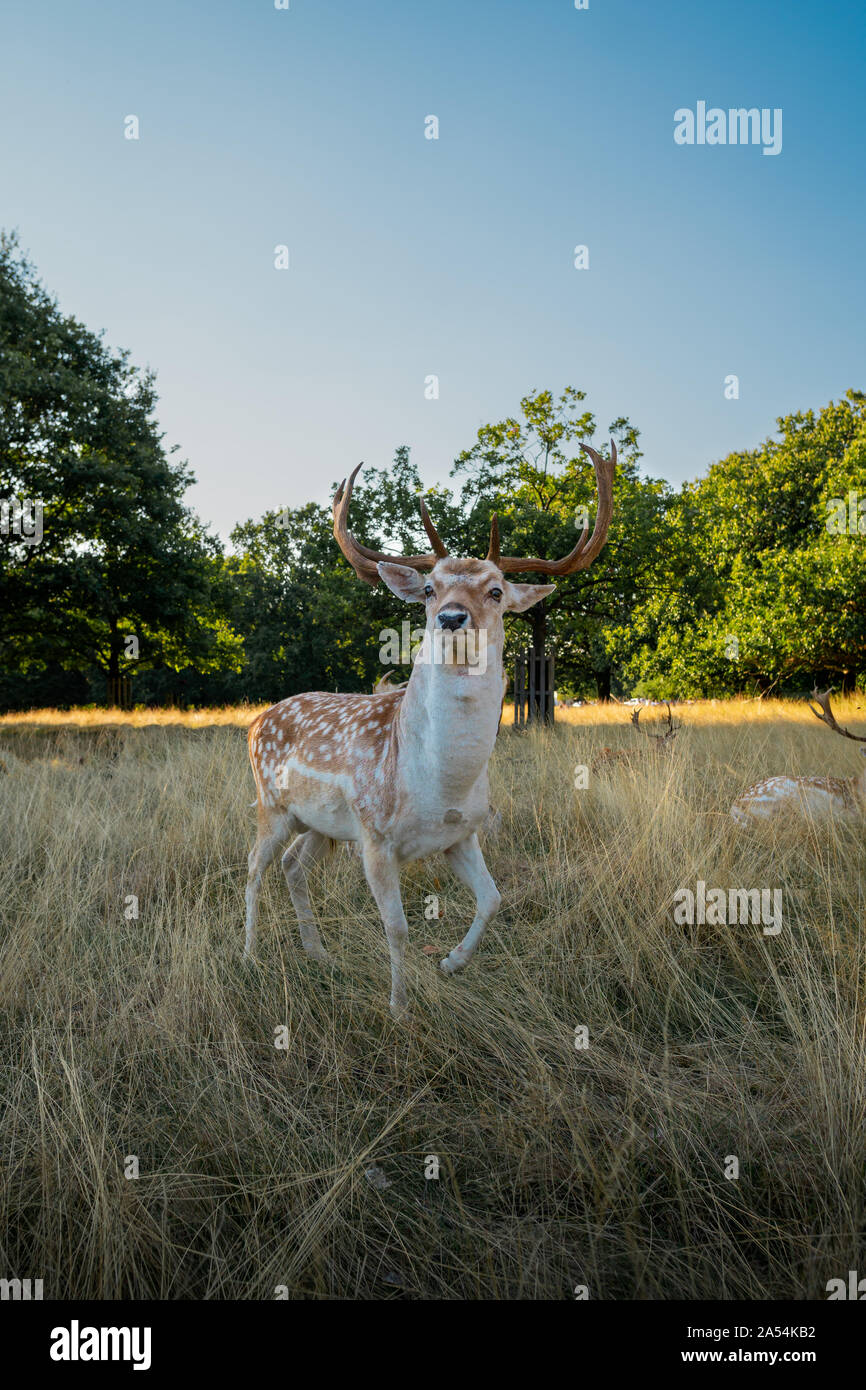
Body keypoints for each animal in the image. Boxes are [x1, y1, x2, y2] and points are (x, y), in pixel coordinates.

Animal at [244, 443, 615, 1016]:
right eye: (428, 588)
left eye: (496, 590)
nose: (451, 617)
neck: (441, 783)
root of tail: (256, 721)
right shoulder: (375, 836)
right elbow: (396, 928)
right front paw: (398, 1007)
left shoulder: (462, 834)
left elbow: (494, 898)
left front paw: (450, 963)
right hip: (272, 803)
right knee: (253, 865)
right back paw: (249, 954)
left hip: (322, 825)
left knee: (292, 865)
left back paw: (317, 953)